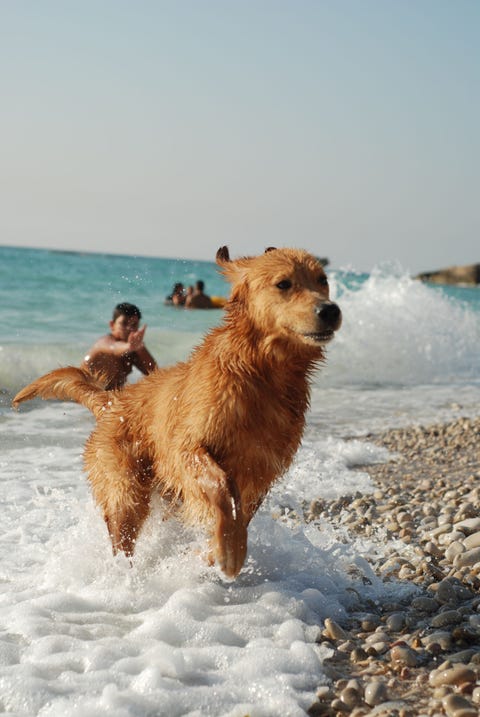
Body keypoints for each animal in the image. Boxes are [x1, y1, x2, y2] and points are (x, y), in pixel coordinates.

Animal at [12, 246, 342, 576]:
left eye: (322, 280)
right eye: (283, 283)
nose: (330, 311)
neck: (262, 373)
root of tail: (112, 401)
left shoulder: (261, 470)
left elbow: (241, 511)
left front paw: (211, 551)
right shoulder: (188, 447)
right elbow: (222, 488)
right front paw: (228, 549)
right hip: (125, 491)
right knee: (122, 535)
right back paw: (125, 575)